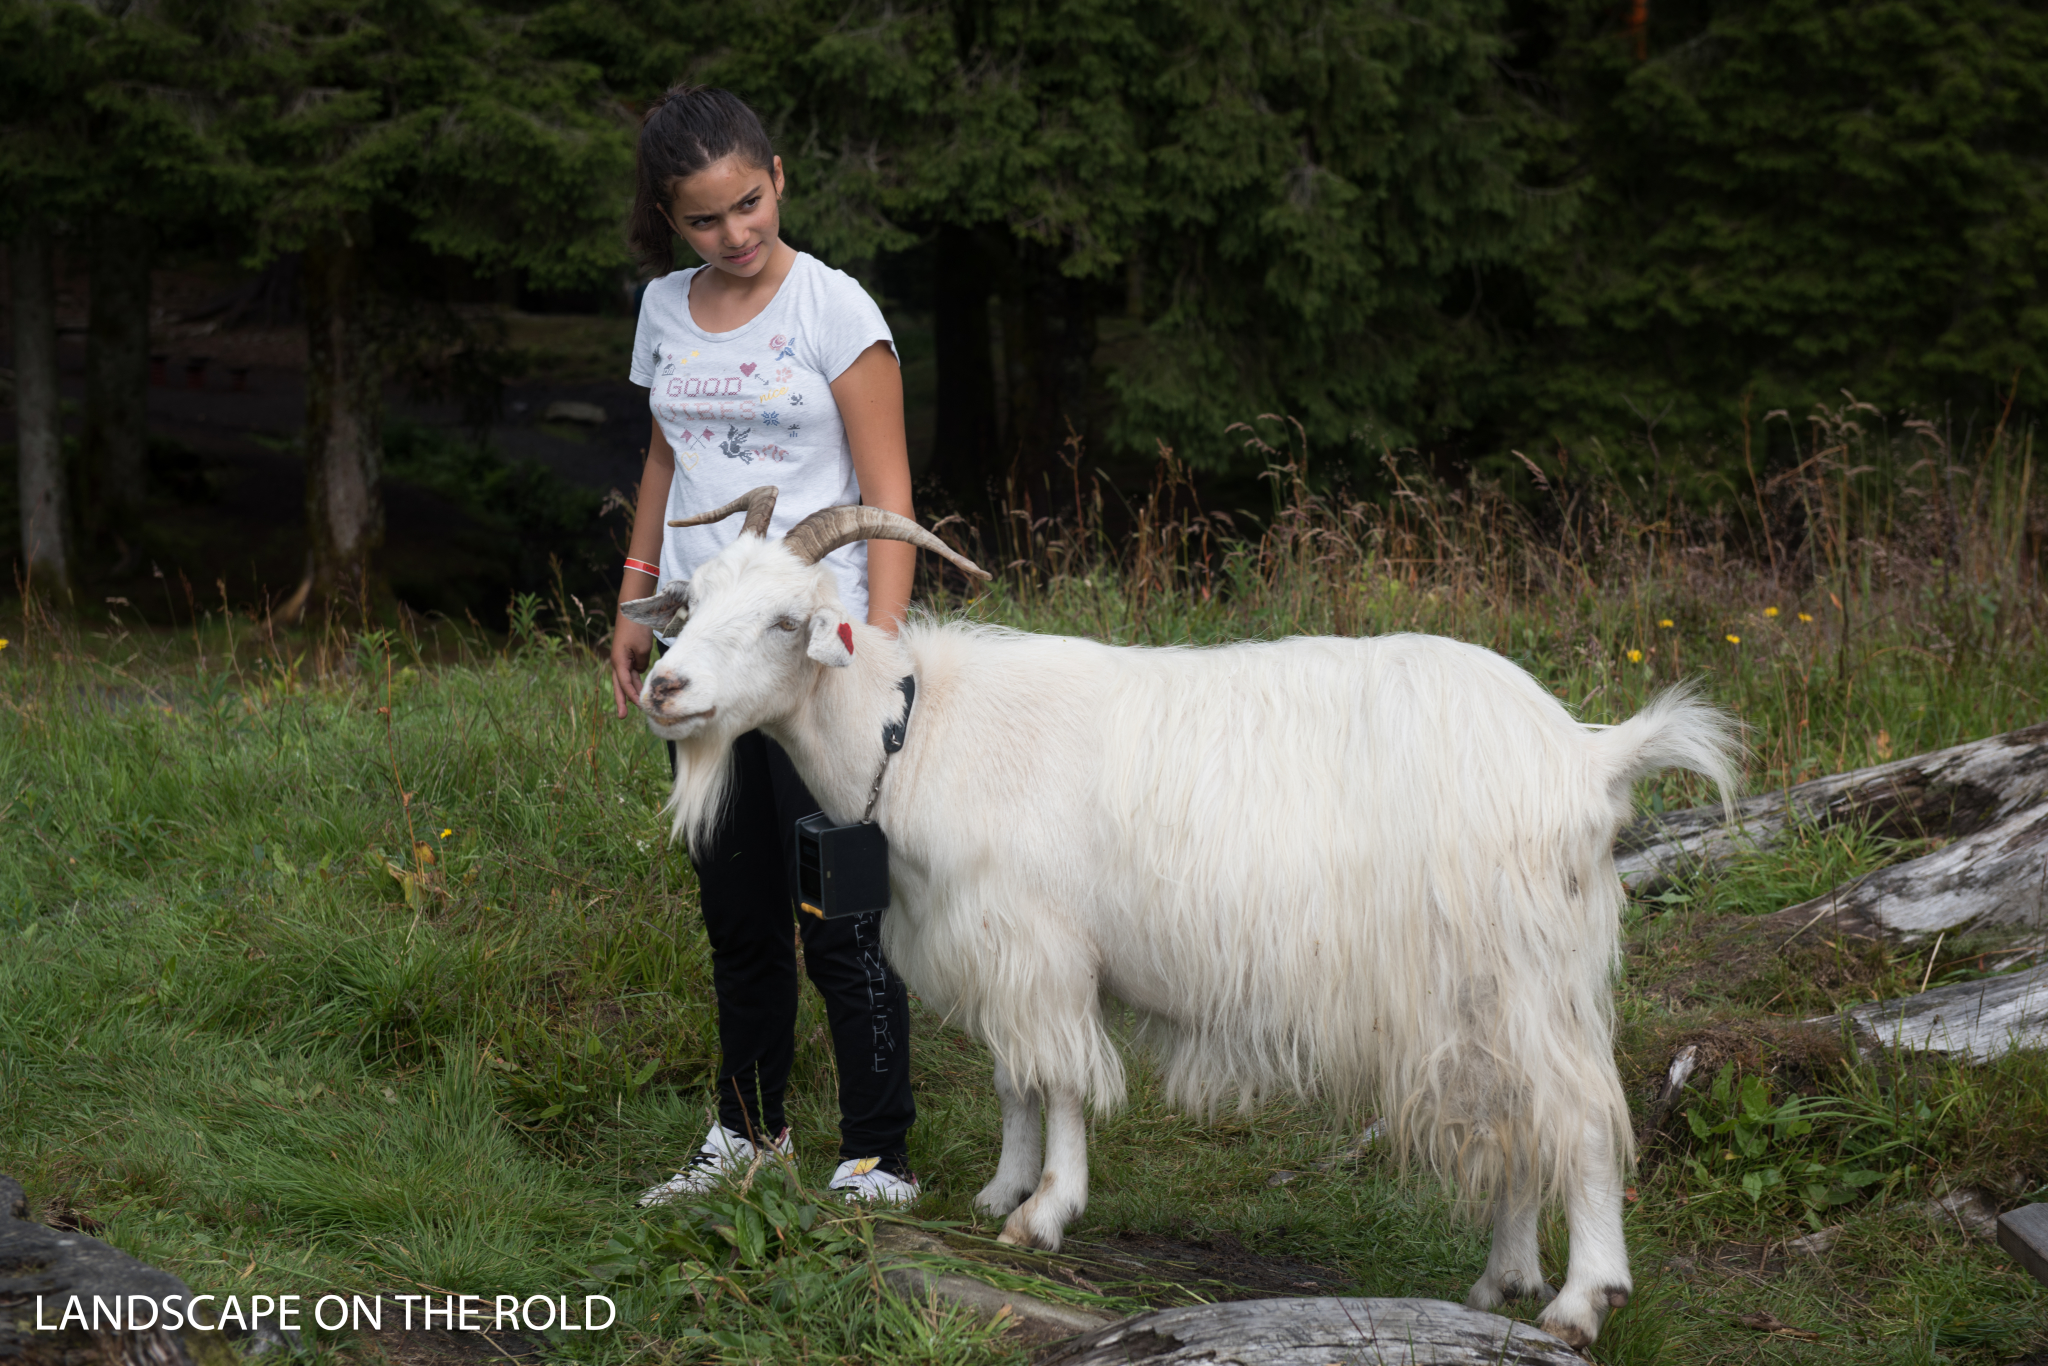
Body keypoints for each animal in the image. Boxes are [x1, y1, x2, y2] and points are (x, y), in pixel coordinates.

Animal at [626, 489, 1744, 1343]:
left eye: (786, 620)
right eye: (697, 599)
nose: (663, 685)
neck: (916, 727)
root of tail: (1586, 755)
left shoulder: (1042, 943)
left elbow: (1062, 1079)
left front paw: (1043, 1213)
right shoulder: (1000, 948)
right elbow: (1013, 1077)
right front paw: (1000, 1191)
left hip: (1524, 967)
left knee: (1581, 1115)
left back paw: (1578, 1300)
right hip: (1477, 987)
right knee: (1514, 1115)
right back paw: (1498, 1282)